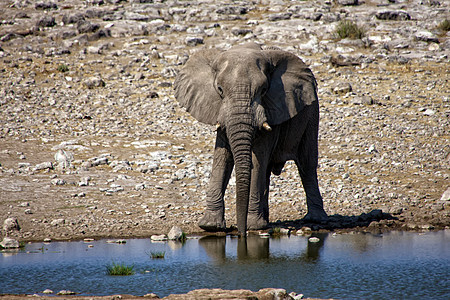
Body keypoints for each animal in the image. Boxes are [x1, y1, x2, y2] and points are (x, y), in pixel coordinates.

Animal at [175, 42, 326, 234]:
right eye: (220, 90)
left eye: (263, 90)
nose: (240, 233)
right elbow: (222, 158)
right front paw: (210, 226)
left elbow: (257, 159)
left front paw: (252, 226)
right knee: (269, 171)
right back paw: (266, 220)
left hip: (312, 113)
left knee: (307, 165)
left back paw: (315, 219)